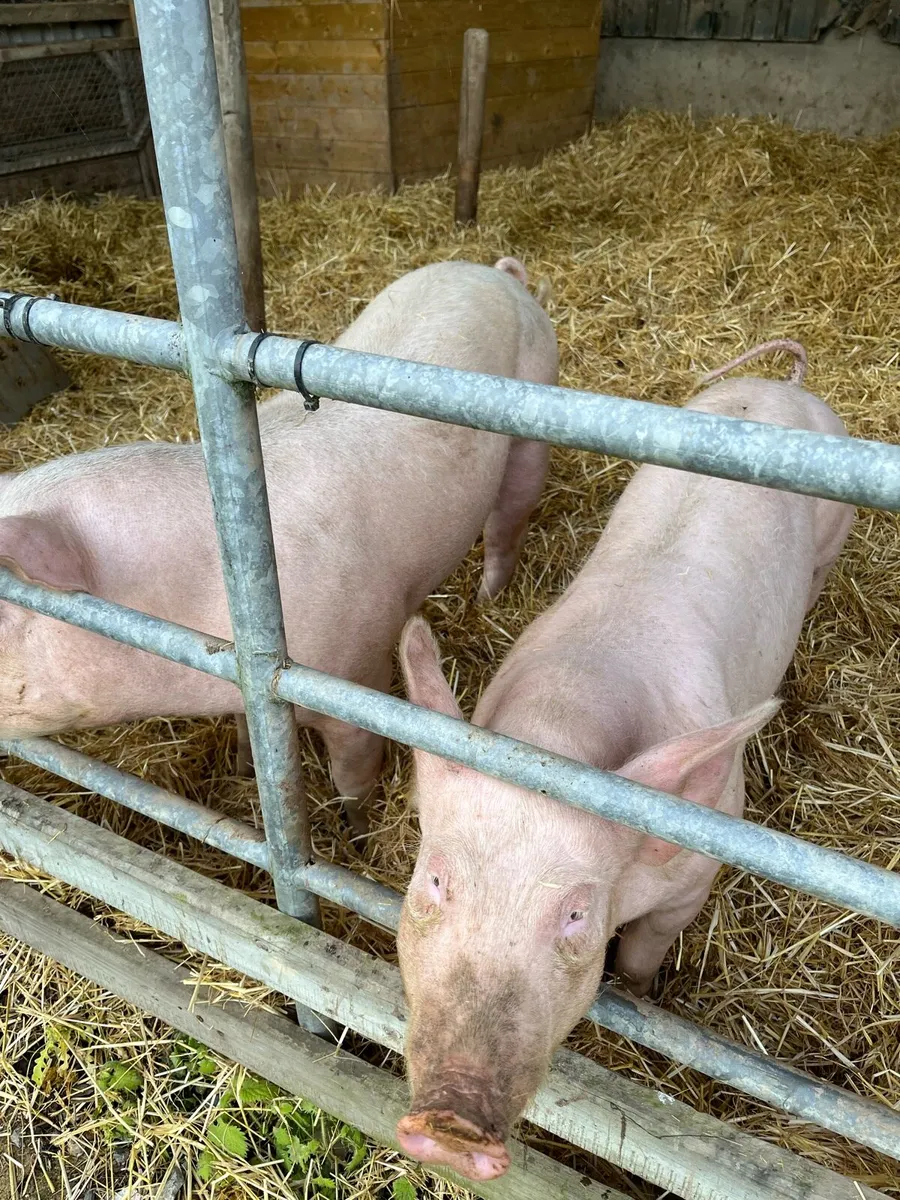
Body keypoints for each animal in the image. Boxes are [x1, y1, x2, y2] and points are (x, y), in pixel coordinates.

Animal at [0, 258, 558, 835]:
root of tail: (494, 272)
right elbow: (253, 733)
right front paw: (246, 772)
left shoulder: (356, 676)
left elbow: (351, 775)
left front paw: (356, 835)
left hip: (534, 407)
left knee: (507, 522)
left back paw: (487, 600)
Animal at [395, 341, 854, 1180]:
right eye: (435, 881)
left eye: (576, 914)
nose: (450, 1124)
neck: (560, 737)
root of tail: (783, 388)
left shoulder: (697, 869)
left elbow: (644, 952)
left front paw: (640, 994)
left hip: (831, 538)